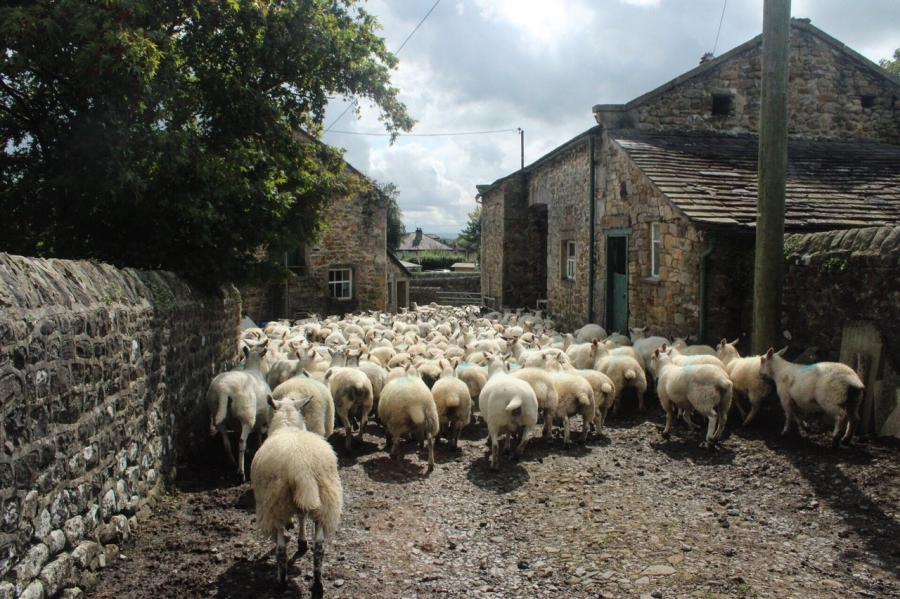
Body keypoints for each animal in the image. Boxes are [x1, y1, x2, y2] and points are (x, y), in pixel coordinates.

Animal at [206, 340, 272, 481]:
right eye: (265, 356)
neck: (254, 369)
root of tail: (224, 389)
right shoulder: (261, 417)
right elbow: (259, 434)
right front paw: (259, 446)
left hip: (218, 414)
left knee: (226, 441)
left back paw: (232, 462)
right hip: (246, 415)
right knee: (241, 442)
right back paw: (241, 472)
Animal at [251, 396, 343, 592]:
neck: (288, 424)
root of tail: (302, 468)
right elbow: (301, 515)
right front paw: (302, 541)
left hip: (274, 505)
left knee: (281, 549)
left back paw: (281, 582)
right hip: (326, 502)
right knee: (319, 547)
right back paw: (318, 584)